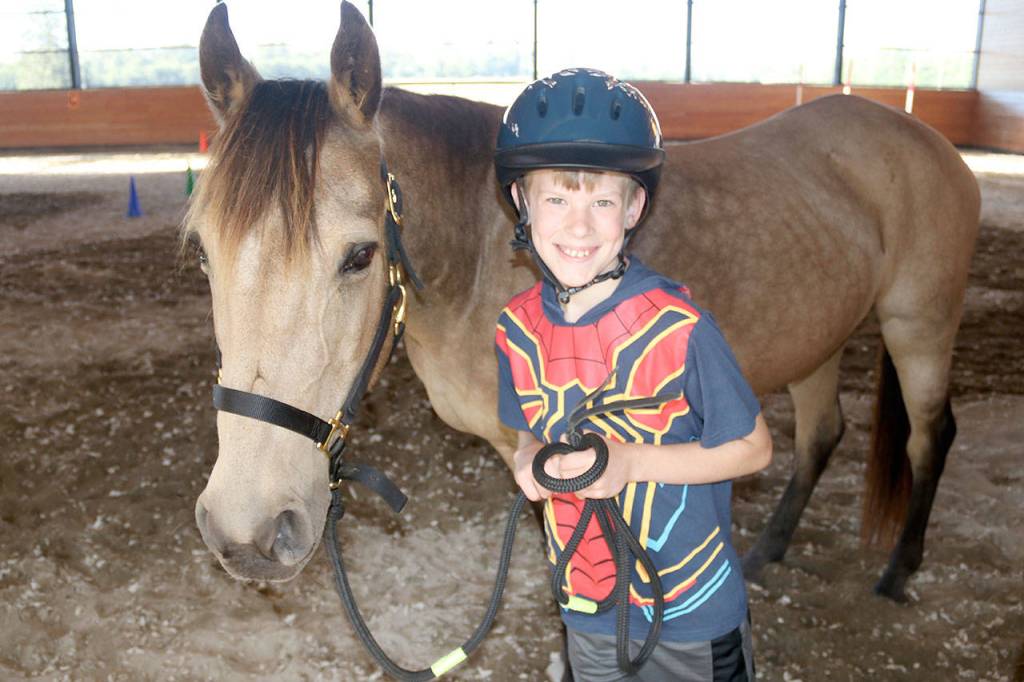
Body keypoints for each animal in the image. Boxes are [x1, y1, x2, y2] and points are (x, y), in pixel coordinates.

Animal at [187, 0, 979, 615]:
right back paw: (768, 552)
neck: (483, 249)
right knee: (822, 435)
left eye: (358, 256)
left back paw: (899, 570)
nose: (246, 532)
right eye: (202, 253)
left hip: (919, 327)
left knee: (929, 438)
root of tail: (923, 136)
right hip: (818, 338)